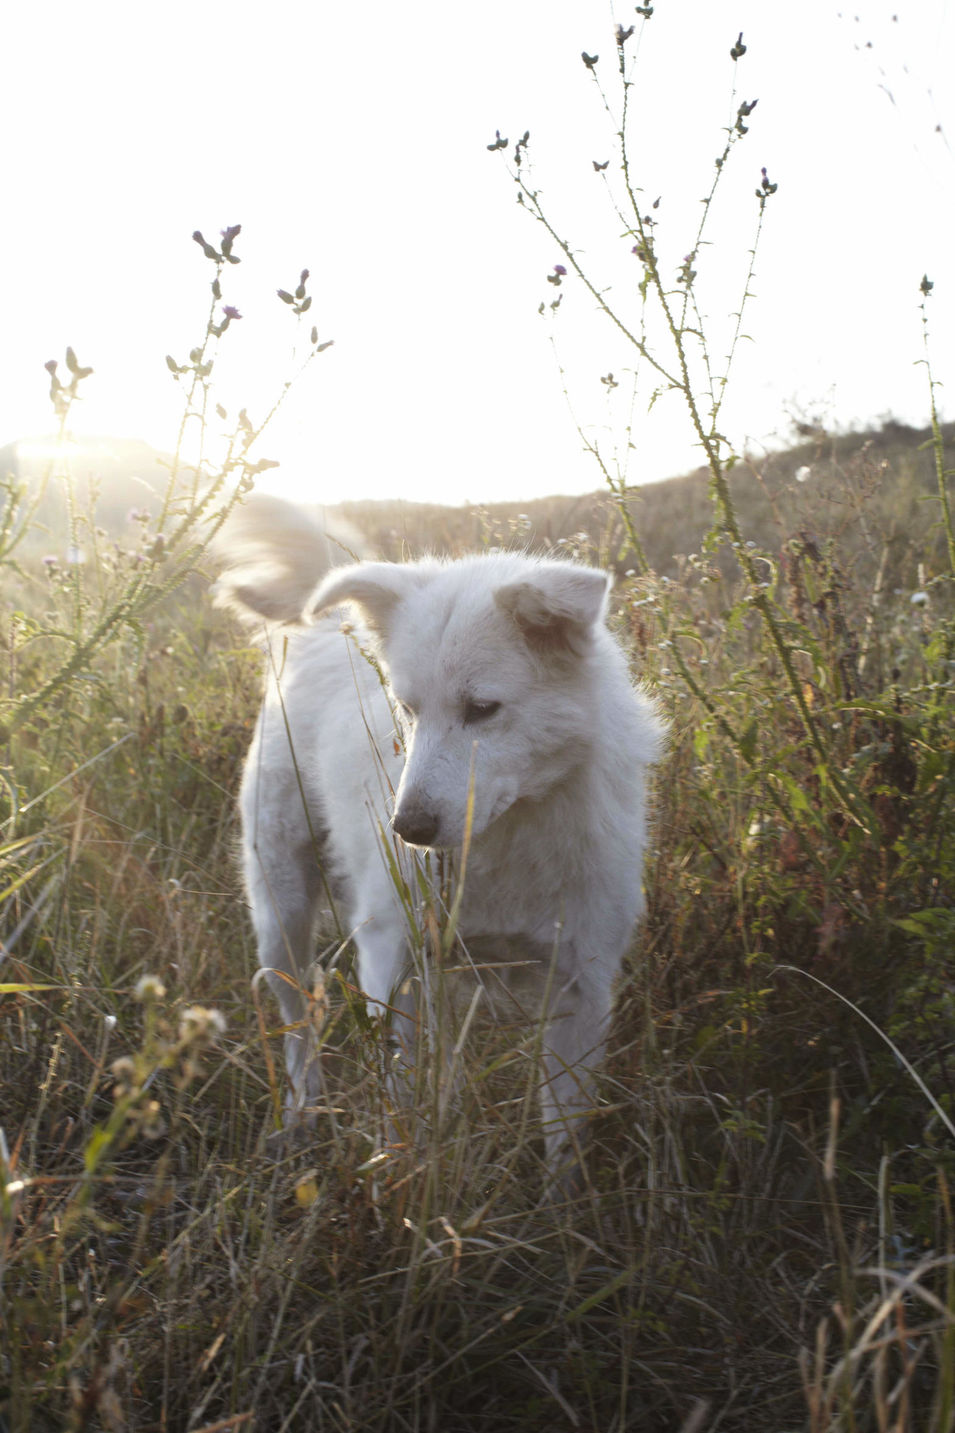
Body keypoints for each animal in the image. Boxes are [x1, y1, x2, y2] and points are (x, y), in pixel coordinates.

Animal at [213, 498, 662, 1169]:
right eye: (408, 709)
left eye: (482, 709)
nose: (408, 828)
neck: (506, 846)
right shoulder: (393, 971)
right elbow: (400, 1108)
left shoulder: (583, 989)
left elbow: (564, 1143)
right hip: (280, 919)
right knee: (300, 1035)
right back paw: (300, 1118)